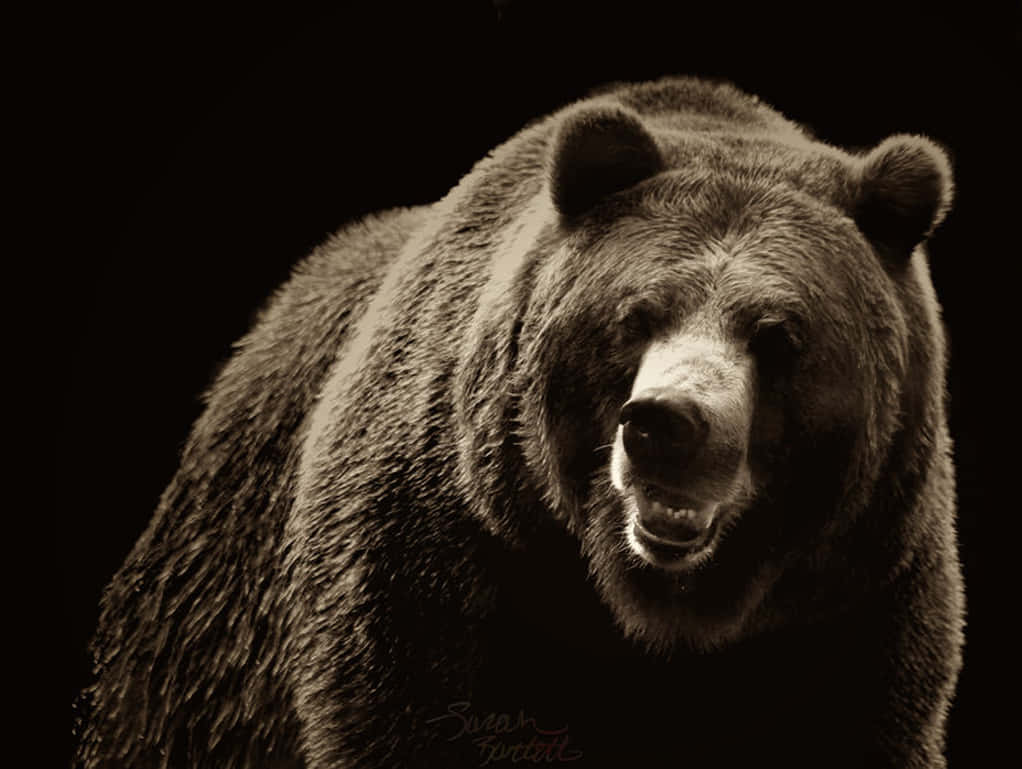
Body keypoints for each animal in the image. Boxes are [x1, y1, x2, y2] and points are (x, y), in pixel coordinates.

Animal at [74, 76, 964, 769]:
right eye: (636, 316)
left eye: (779, 335)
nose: (668, 425)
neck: (656, 610)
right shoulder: (443, 560)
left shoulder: (853, 604)